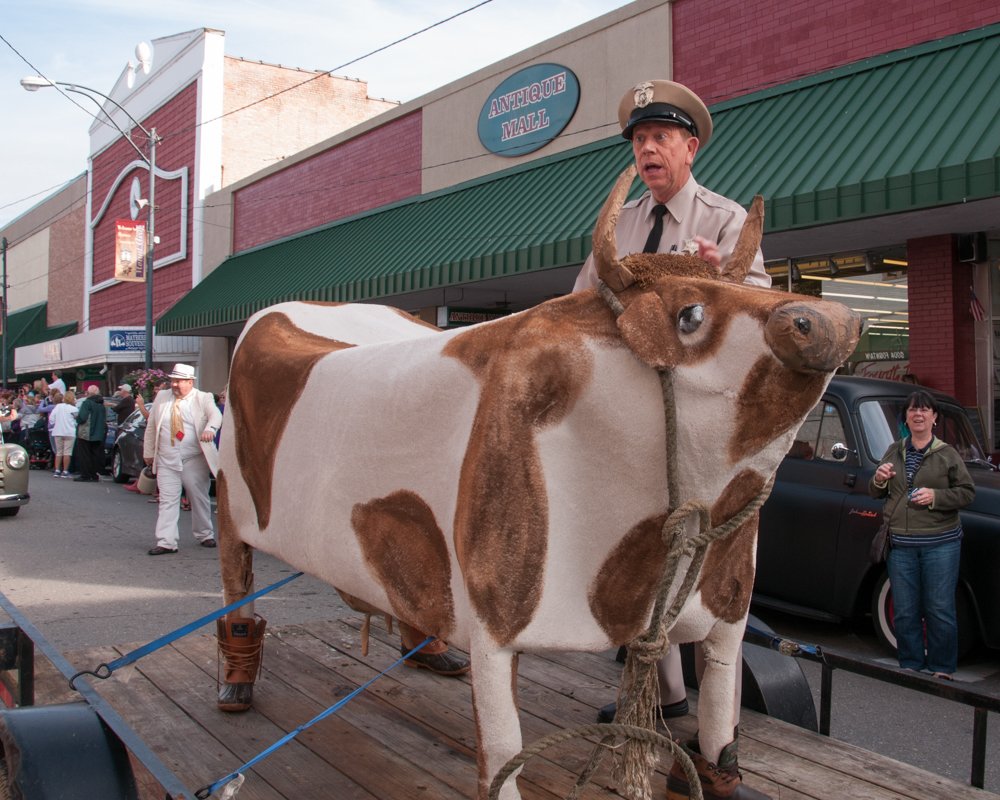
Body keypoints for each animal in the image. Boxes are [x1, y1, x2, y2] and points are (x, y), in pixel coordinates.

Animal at [215, 166, 864, 796]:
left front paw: (715, 773)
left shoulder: (729, 606)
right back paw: (236, 681)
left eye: (759, 286)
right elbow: (503, 757)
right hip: (228, 505)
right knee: (235, 582)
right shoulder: (495, 618)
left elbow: (721, 720)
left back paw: (429, 652)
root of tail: (298, 308)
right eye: (690, 315)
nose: (827, 320)